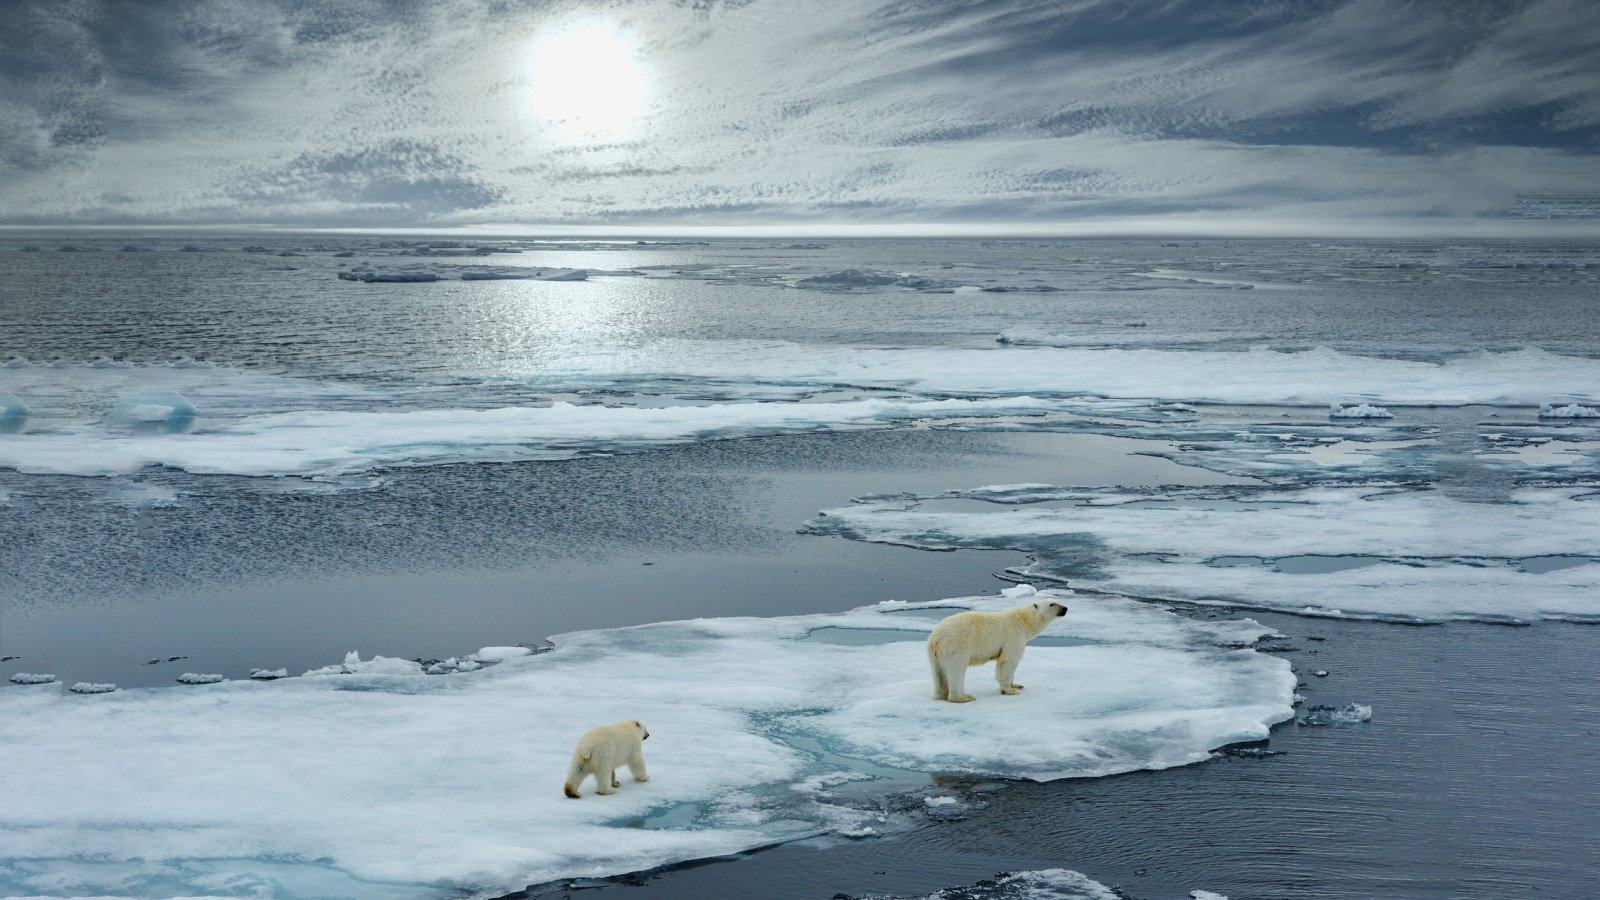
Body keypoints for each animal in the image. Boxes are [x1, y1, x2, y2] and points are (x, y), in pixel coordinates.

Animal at [928, 595, 1062, 701]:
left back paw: (942, 694)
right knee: (956, 669)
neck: (1024, 619)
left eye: (1057, 601)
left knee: (938, 672)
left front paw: (1016, 685)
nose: (1064, 609)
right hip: (956, 645)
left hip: (935, 653)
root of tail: (936, 637)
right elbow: (1009, 661)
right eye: (1052, 604)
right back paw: (963, 697)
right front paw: (1009, 690)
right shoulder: (1014, 635)